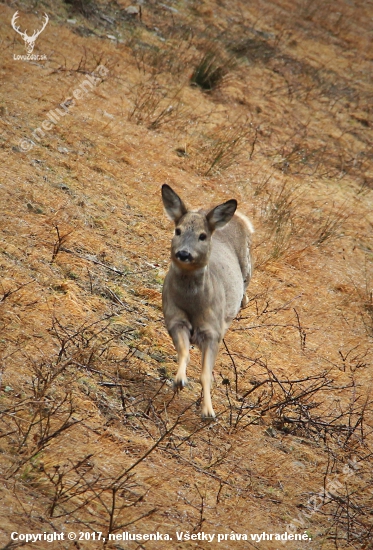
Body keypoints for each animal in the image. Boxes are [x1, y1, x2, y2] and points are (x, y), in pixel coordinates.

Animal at [161, 183, 253, 420]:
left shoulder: (212, 331)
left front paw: (208, 412)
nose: (184, 253)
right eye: (178, 230)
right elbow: (184, 353)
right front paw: (179, 381)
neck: (194, 304)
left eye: (202, 236)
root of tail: (238, 217)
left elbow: (206, 375)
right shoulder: (174, 319)